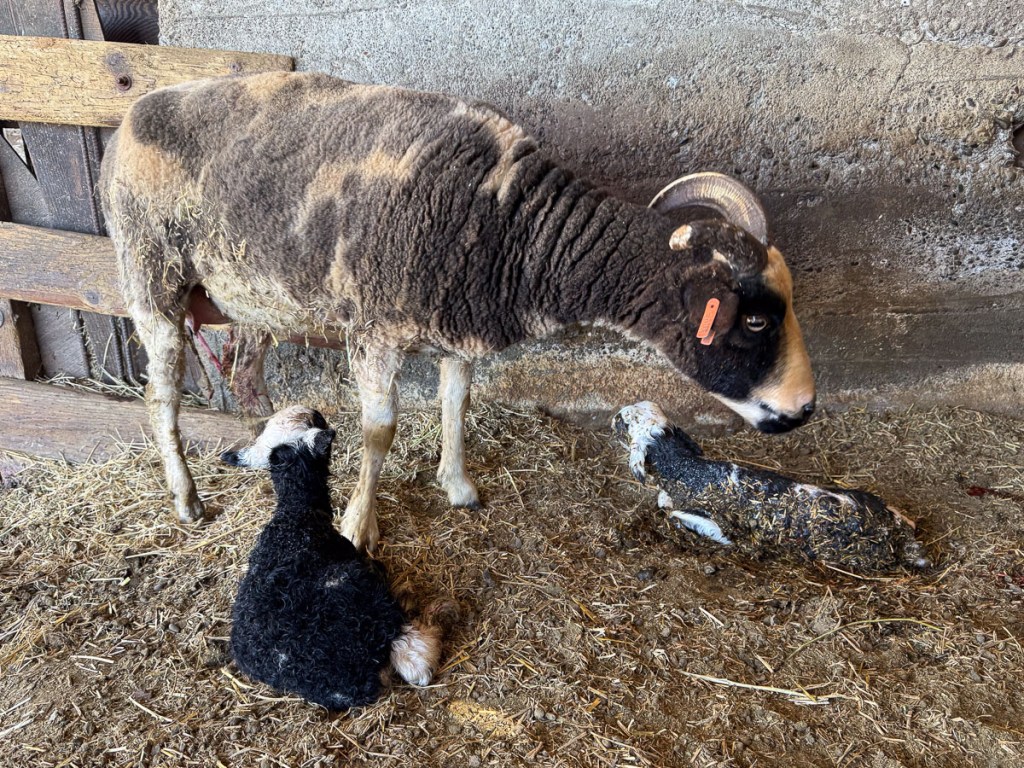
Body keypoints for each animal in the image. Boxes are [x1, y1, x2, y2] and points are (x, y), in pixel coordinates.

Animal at [98, 71, 816, 550]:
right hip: (151, 274)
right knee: (160, 396)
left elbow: (456, 404)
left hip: (250, 302)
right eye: (755, 319)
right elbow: (381, 431)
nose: (804, 410)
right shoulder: (375, 331)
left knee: (245, 377)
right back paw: (187, 502)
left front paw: (458, 487)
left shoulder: (455, 329)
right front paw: (358, 526)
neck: (514, 226)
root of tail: (136, 111)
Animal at [221, 405, 447, 710]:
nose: (314, 409)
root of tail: (348, 685)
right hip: (365, 594)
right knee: (414, 651)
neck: (296, 515)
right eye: (314, 420)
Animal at [613, 402, 930, 573]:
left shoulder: (707, 520)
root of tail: (897, 535)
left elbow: (678, 514)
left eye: (622, 422)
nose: (615, 415)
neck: (687, 469)